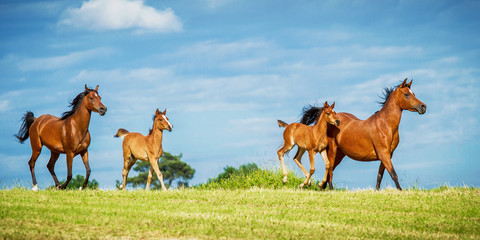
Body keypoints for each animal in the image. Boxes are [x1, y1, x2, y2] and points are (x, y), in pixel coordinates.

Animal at [300, 78, 428, 190]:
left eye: (414, 93)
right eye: (406, 94)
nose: (423, 107)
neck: (386, 125)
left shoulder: (387, 155)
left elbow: (380, 176)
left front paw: (377, 191)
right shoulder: (384, 154)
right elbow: (393, 174)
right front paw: (400, 191)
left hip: (340, 154)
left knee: (329, 171)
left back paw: (323, 188)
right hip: (332, 150)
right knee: (330, 170)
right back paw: (330, 189)